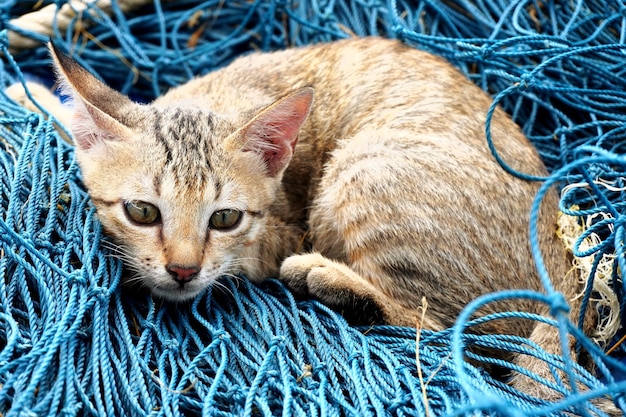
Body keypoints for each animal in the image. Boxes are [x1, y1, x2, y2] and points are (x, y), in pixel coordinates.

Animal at [36, 36, 616, 412]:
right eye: (142, 211)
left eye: (224, 218)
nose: (183, 271)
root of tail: (562, 253)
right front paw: (38, 98)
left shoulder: (282, 230)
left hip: (362, 168)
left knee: (452, 329)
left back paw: (333, 281)